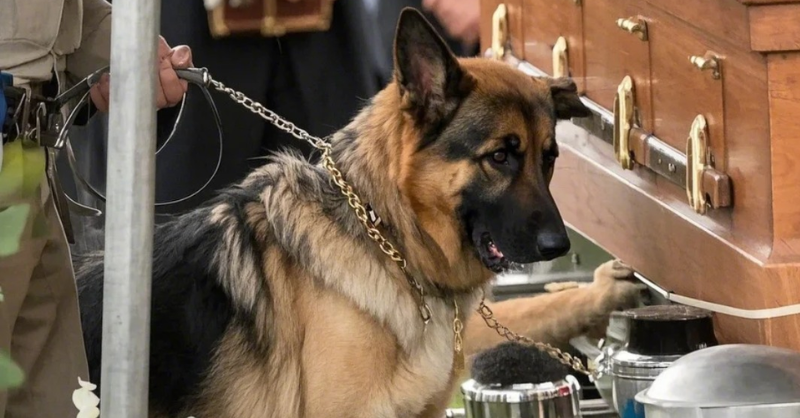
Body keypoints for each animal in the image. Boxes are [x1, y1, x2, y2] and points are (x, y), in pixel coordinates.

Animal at [74, 8, 641, 418]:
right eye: (500, 156)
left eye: (550, 159)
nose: (558, 246)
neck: (386, 237)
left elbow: (529, 309)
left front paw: (601, 293)